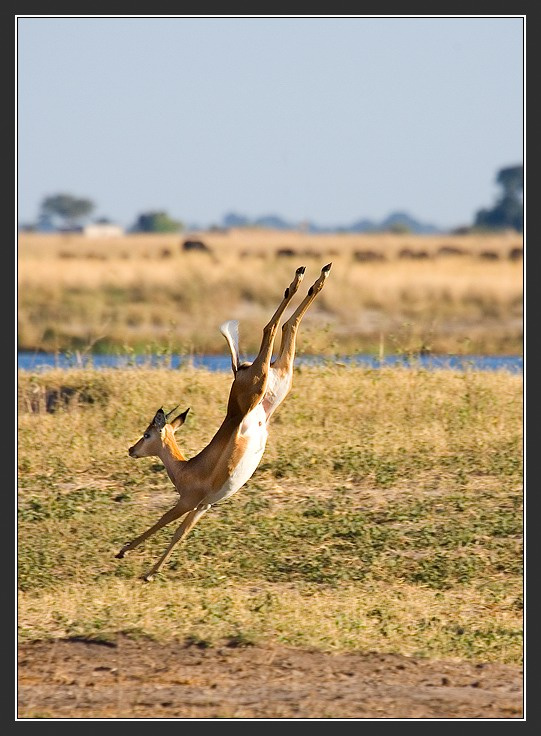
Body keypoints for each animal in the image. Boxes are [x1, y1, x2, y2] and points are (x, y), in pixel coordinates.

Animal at [115, 263, 332, 581]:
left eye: (146, 434)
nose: (131, 450)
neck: (186, 469)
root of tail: (239, 369)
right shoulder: (203, 507)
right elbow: (180, 534)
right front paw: (150, 571)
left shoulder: (187, 502)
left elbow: (162, 523)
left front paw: (128, 556)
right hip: (278, 382)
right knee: (288, 326)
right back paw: (315, 276)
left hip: (257, 386)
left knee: (271, 328)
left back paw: (302, 277)